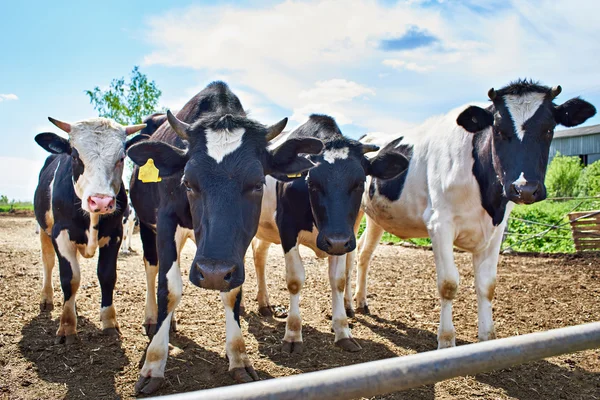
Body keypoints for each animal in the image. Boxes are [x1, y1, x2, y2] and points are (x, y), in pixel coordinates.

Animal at [33, 116, 147, 344]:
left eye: (122, 157)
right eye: (75, 155)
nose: (101, 201)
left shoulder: (115, 235)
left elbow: (107, 275)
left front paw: (109, 322)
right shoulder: (61, 234)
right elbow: (69, 278)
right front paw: (67, 327)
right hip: (44, 230)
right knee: (49, 263)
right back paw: (47, 299)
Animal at [251, 113, 410, 354]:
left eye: (360, 183)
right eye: (312, 182)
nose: (334, 240)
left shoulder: (342, 239)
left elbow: (338, 280)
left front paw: (343, 331)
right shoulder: (287, 229)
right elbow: (295, 279)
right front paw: (293, 334)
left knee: (259, 254)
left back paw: (264, 303)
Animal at [352, 79, 596, 348]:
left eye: (549, 129)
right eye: (498, 130)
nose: (524, 188)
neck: (486, 197)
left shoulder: (496, 229)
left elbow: (487, 285)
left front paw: (487, 338)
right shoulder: (440, 224)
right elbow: (448, 284)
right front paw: (446, 341)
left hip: (377, 217)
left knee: (364, 253)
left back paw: (360, 301)